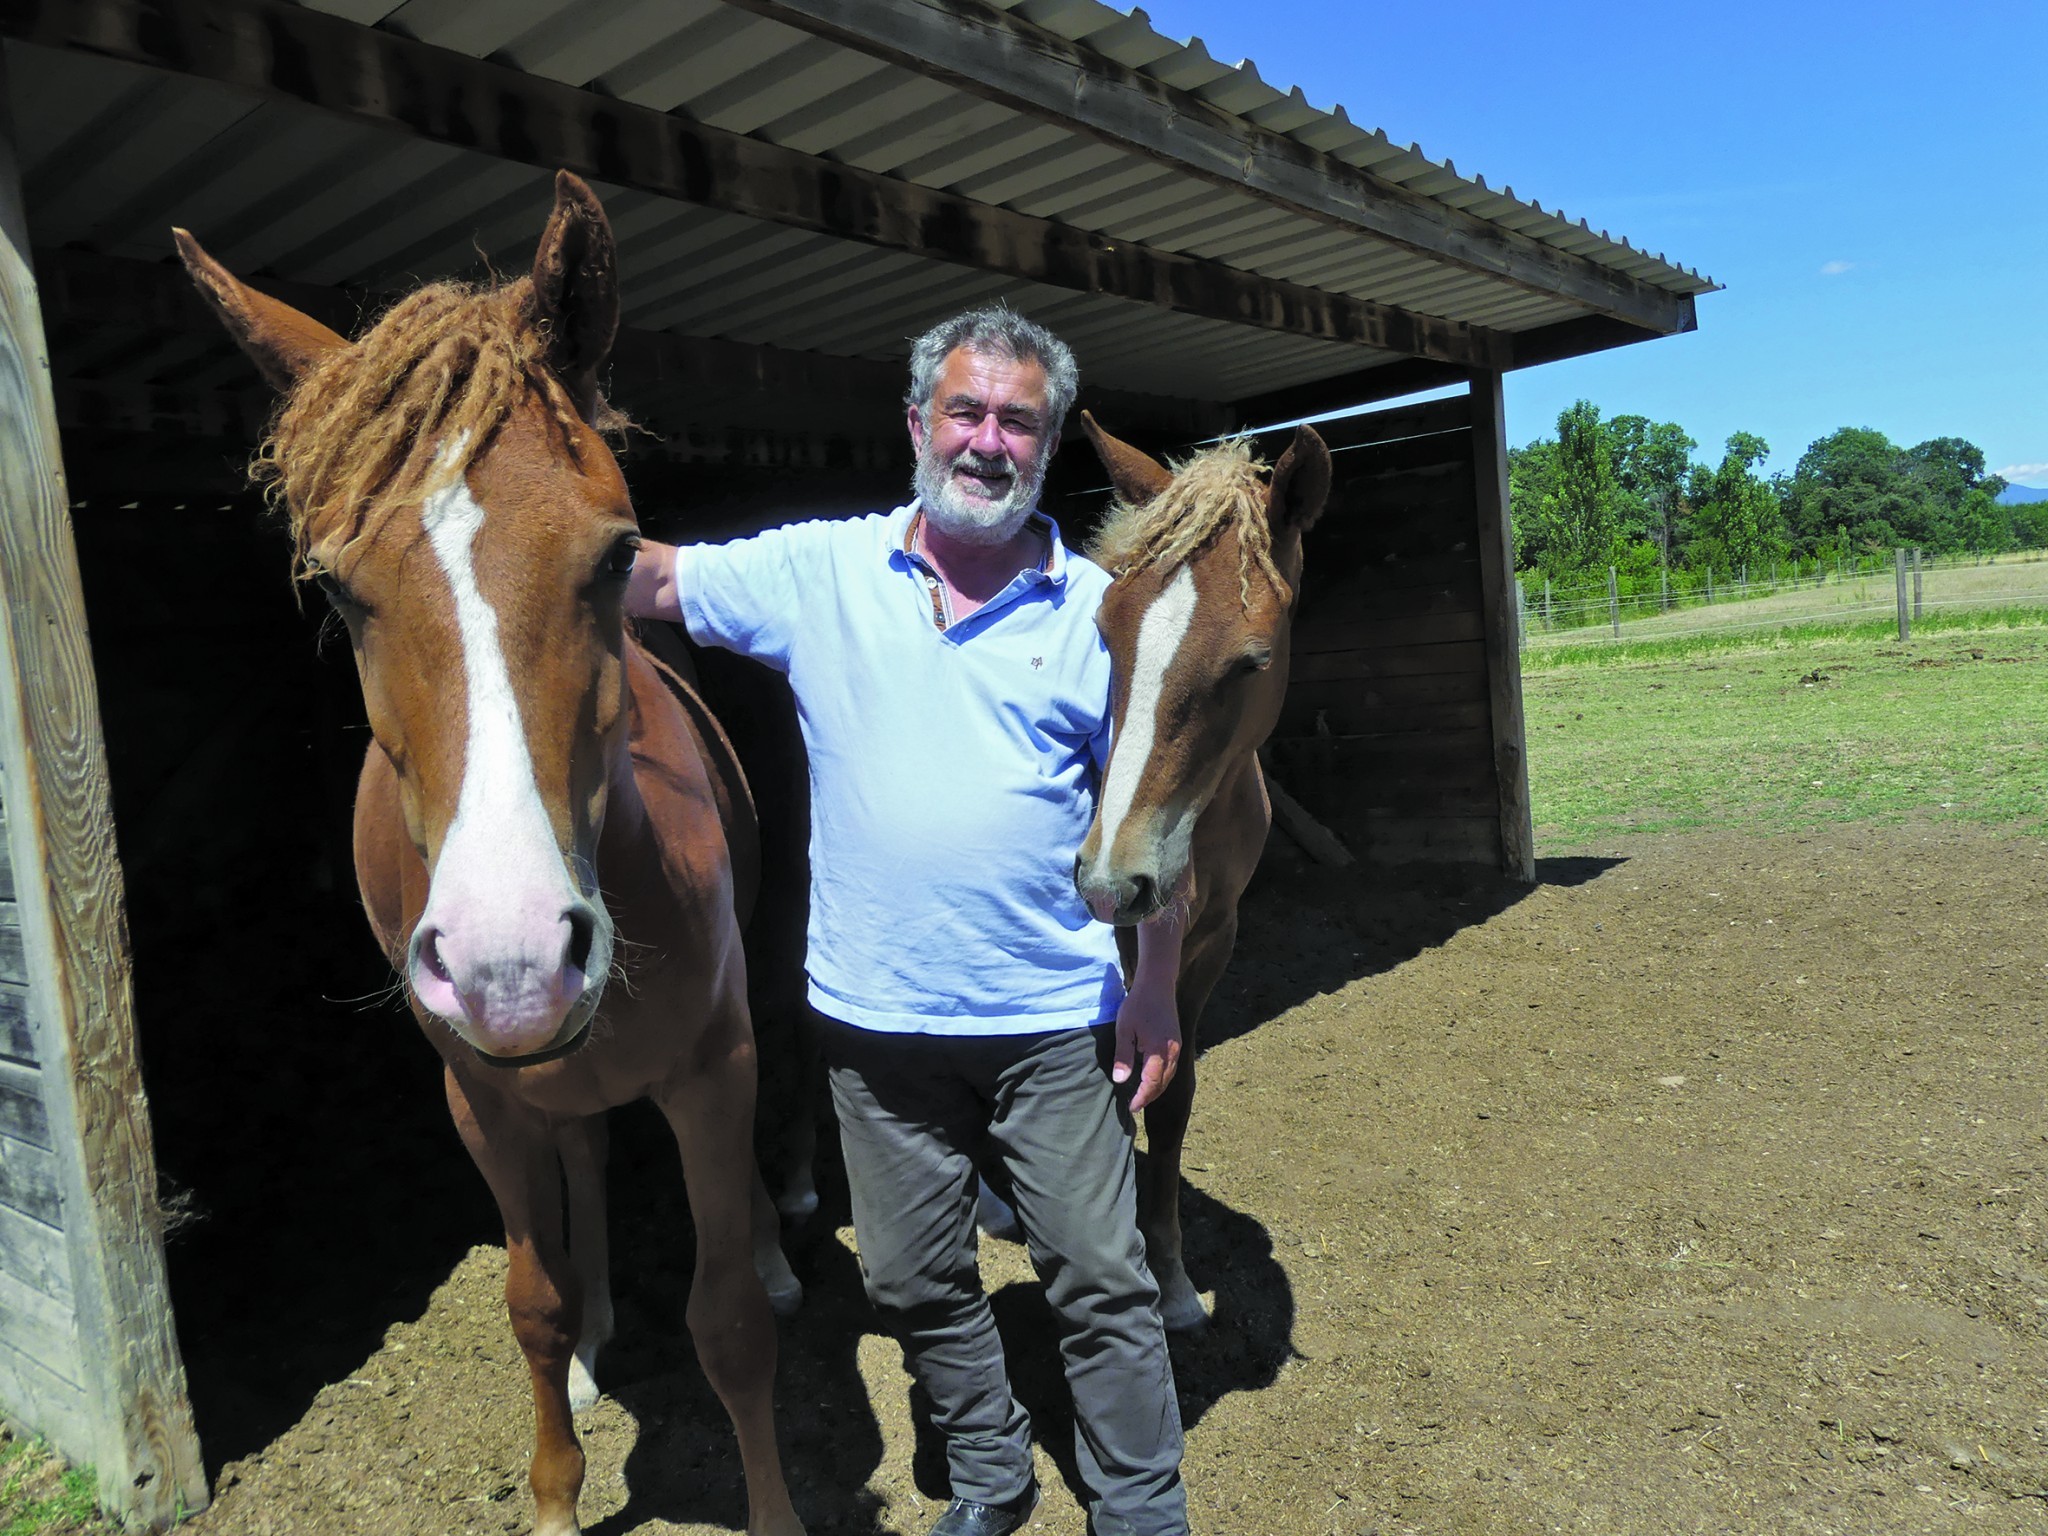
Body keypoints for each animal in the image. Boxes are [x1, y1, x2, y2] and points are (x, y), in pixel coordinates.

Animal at [176, 174, 802, 1531]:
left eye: (615, 555)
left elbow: (729, 1325)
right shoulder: (483, 1101)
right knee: (582, 1154)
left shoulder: (710, 1071)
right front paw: (557, 1487)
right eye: (337, 588)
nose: (508, 961)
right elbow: (532, 1300)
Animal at [1064, 411, 1335, 1335]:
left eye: (1252, 661)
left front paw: (1175, 1278)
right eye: (1106, 632)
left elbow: (1172, 1092)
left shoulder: (1212, 936)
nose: (1112, 882)